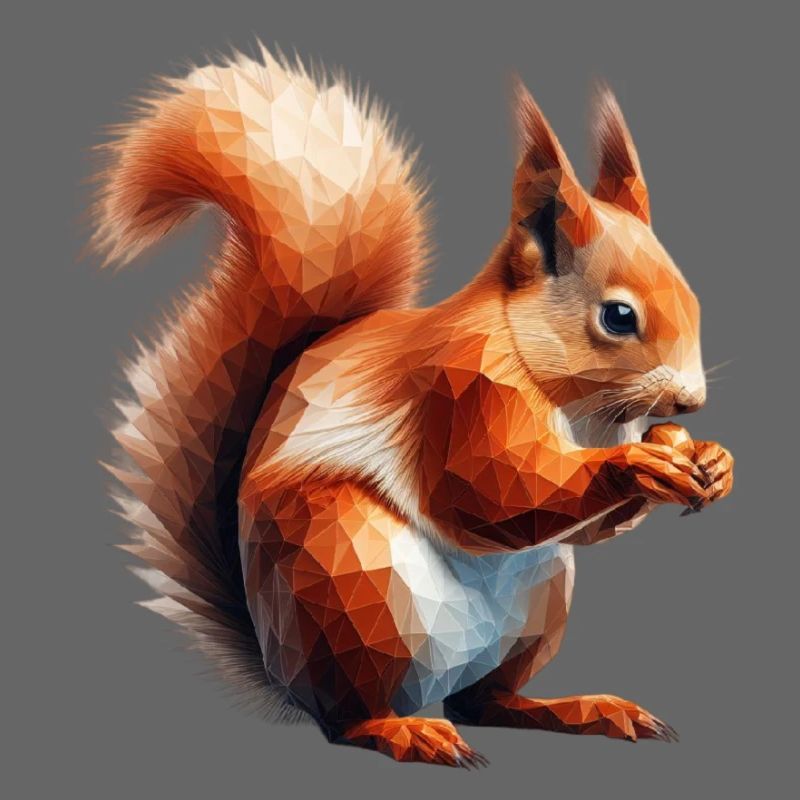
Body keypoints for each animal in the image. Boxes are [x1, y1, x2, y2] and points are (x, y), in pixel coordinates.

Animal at [91, 47, 733, 767]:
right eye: (619, 316)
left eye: (692, 297)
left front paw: (711, 460)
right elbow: (489, 490)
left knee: (483, 702)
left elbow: (583, 530)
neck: (574, 398)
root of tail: (279, 666)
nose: (691, 401)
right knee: (349, 717)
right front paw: (640, 465)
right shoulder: (458, 388)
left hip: (541, 602)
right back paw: (404, 730)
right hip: (348, 576)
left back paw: (577, 709)